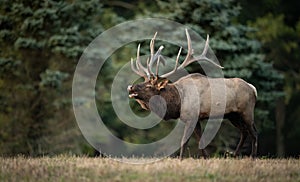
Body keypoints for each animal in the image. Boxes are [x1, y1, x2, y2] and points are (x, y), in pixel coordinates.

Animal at [126, 28, 258, 159]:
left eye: (149, 86)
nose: (130, 87)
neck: (178, 102)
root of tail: (253, 88)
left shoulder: (191, 116)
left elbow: (184, 142)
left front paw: (180, 159)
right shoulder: (197, 119)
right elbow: (201, 141)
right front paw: (206, 158)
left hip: (247, 111)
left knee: (254, 133)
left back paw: (252, 156)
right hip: (233, 115)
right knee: (244, 132)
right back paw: (234, 155)